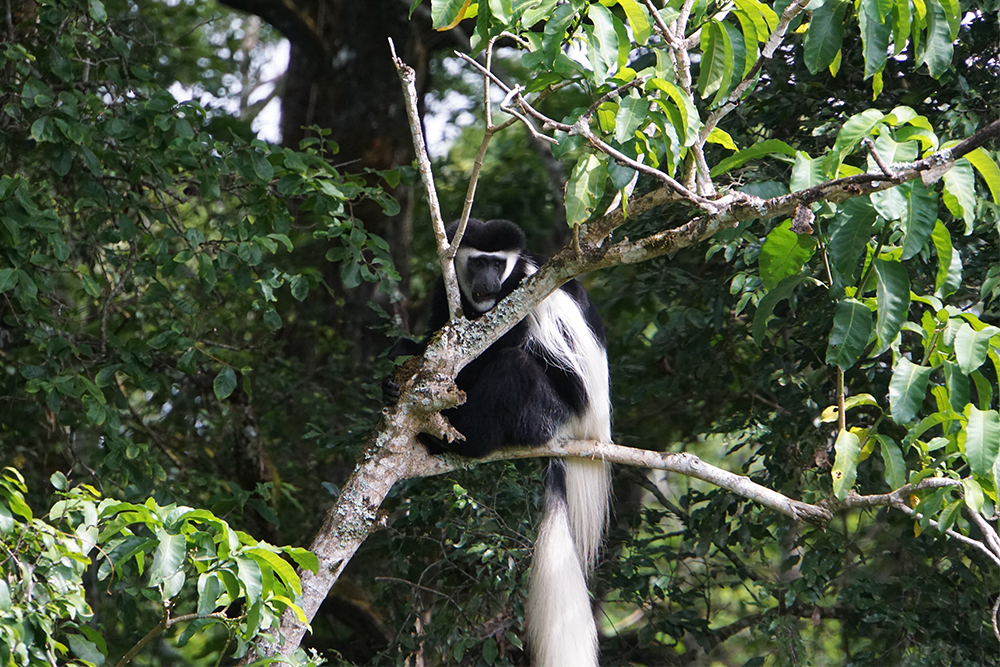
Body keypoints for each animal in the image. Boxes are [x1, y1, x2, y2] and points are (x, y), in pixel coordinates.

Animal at [388, 219, 608, 667]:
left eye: (496, 264)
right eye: (477, 262)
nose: (487, 283)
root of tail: (581, 435)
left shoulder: (522, 291)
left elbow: (508, 347)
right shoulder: (446, 290)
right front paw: (402, 366)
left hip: (547, 414)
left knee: (515, 364)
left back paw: (455, 438)